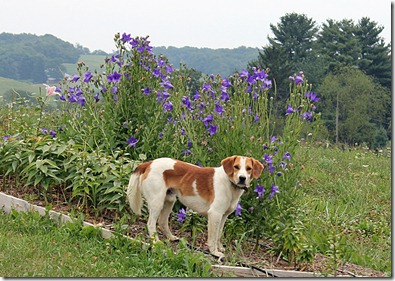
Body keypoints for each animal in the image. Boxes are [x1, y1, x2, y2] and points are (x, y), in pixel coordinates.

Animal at [127, 154, 262, 258]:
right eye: (236, 167)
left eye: (249, 168)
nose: (242, 178)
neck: (230, 184)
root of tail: (149, 163)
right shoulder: (215, 214)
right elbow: (212, 237)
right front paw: (214, 252)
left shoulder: (223, 216)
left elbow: (219, 234)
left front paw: (220, 247)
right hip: (157, 202)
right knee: (151, 224)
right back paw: (155, 242)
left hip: (169, 200)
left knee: (162, 222)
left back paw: (171, 237)